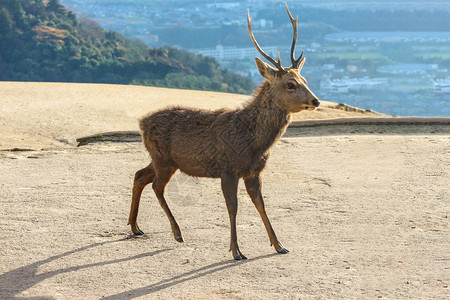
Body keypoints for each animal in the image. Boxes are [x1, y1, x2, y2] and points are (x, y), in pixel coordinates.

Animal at [128, 2, 322, 260]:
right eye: (290, 84)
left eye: (305, 79)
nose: (315, 100)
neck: (253, 143)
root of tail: (141, 123)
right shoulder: (228, 168)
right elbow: (233, 207)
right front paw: (236, 251)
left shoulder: (254, 172)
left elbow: (261, 205)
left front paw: (279, 245)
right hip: (163, 159)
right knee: (156, 186)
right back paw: (177, 232)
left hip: (165, 159)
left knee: (139, 175)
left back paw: (135, 227)